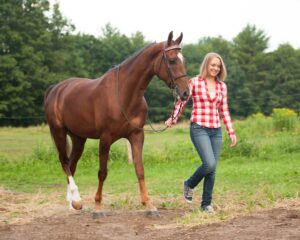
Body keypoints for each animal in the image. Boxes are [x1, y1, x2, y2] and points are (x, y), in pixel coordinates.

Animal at [44, 31, 190, 216]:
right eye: (172, 60)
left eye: (183, 59)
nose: (185, 93)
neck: (124, 94)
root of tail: (55, 89)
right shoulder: (105, 138)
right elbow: (102, 172)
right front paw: (98, 207)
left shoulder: (136, 135)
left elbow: (140, 170)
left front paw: (149, 205)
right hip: (59, 132)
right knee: (64, 162)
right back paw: (76, 200)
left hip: (78, 138)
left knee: (71, 164)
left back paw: (72, 203)